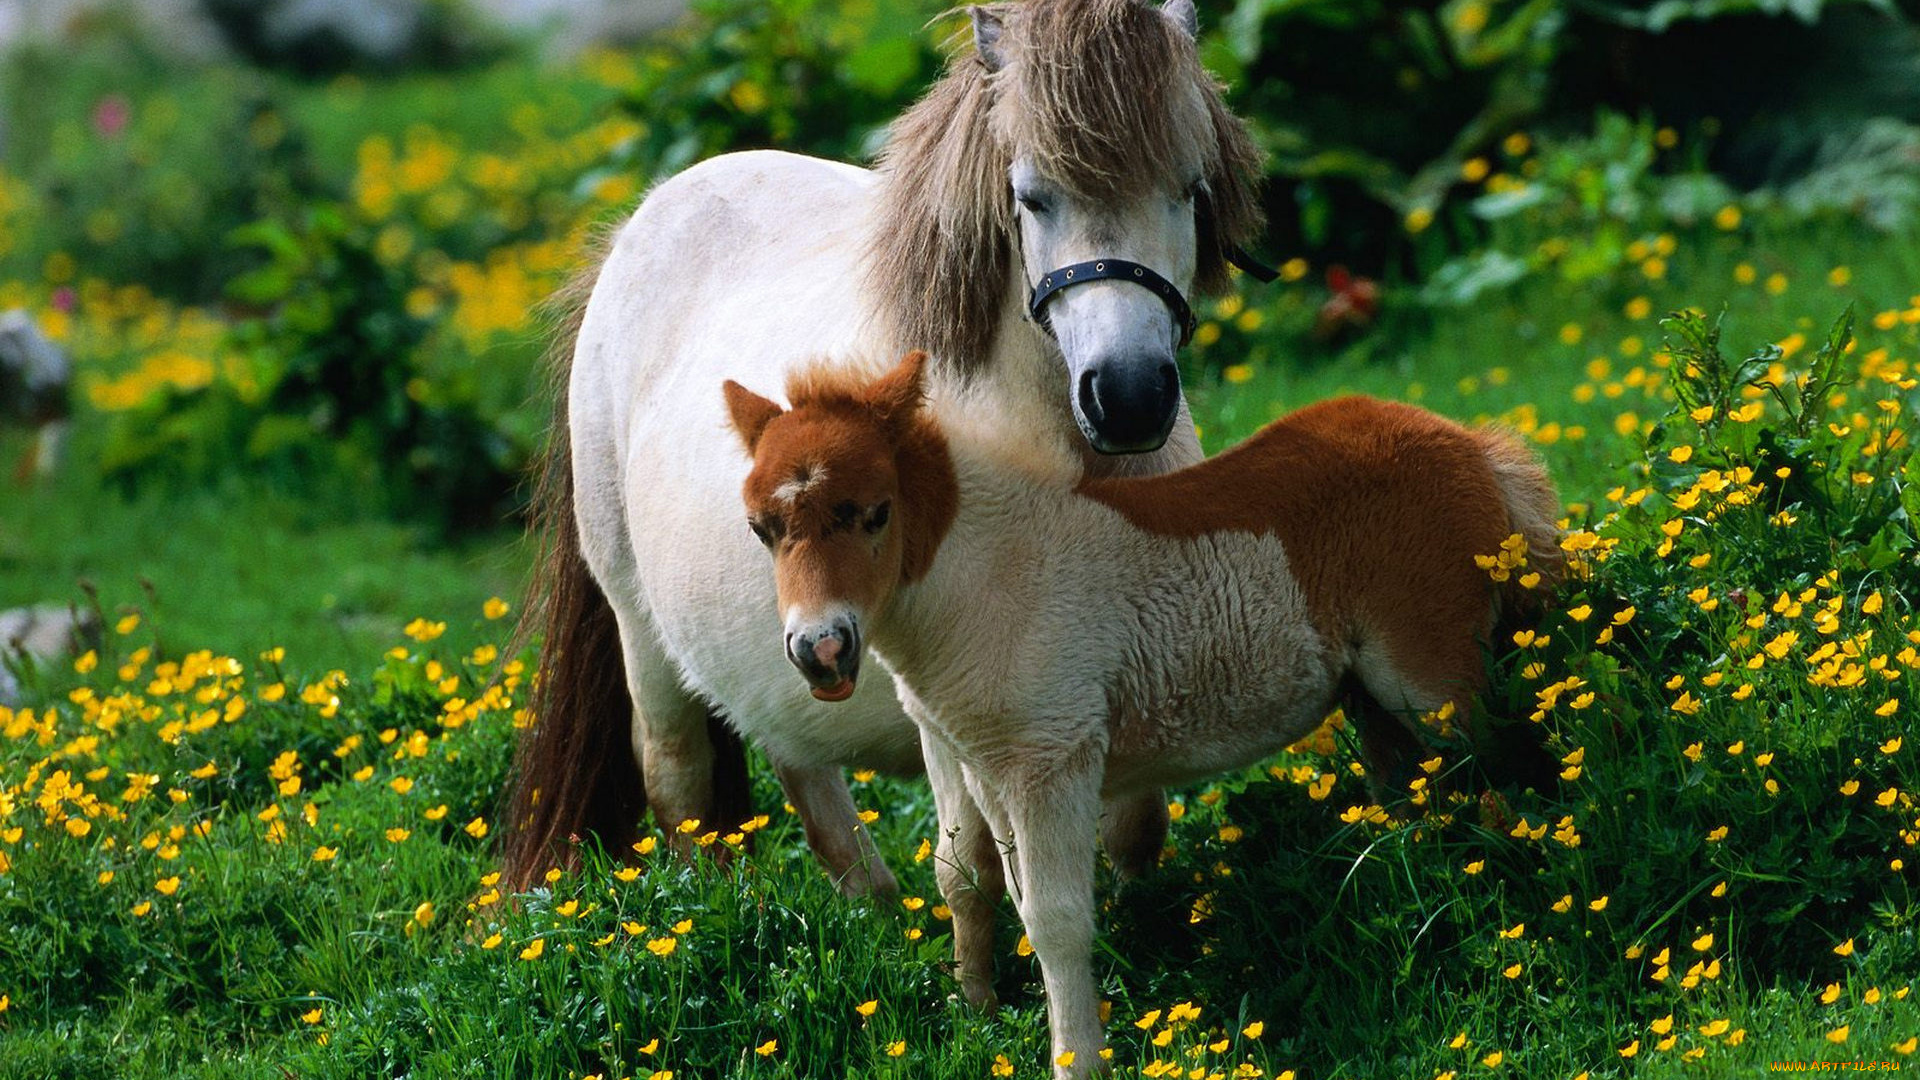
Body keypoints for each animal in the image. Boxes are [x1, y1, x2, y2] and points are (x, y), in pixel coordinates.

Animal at [503, 0, 1267, 891]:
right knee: (680, 781)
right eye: (1032, 198)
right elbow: (986, 863)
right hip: (640, 630)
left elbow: (1136, 827)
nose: (1130, 394)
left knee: (798, 760)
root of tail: (635, 227)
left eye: (1190, 189)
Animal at [725, 351, 1566, 1068]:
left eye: (874, 513)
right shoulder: (985, 766)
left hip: (1434, 682)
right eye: (761, 531)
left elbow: (1058, 920)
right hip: (1374, 699)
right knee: (1415, 793)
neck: (987, 575)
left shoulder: (1054, 761)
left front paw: (1078, 1062)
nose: (821, 651)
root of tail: (1471, 442)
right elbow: (995, 889)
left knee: (1508, 774)